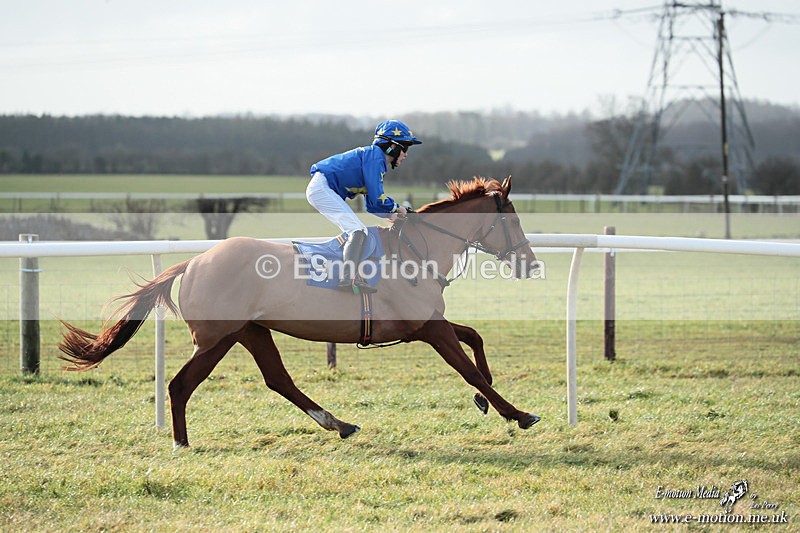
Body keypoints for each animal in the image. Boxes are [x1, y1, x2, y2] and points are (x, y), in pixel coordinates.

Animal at [59, 176, 542, 448]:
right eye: (513, 220)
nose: (530, 264)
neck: (417, 252)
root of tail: (192, 263)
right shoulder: (428, 326)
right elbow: (469, 368)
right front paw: (518, 413)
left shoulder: (425, 323)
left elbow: (475, 338)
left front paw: (488, 401)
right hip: (217, 337)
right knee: (181, 384)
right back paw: (181, 443)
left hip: (250, 331)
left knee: (278, 379)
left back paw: (339, 424)